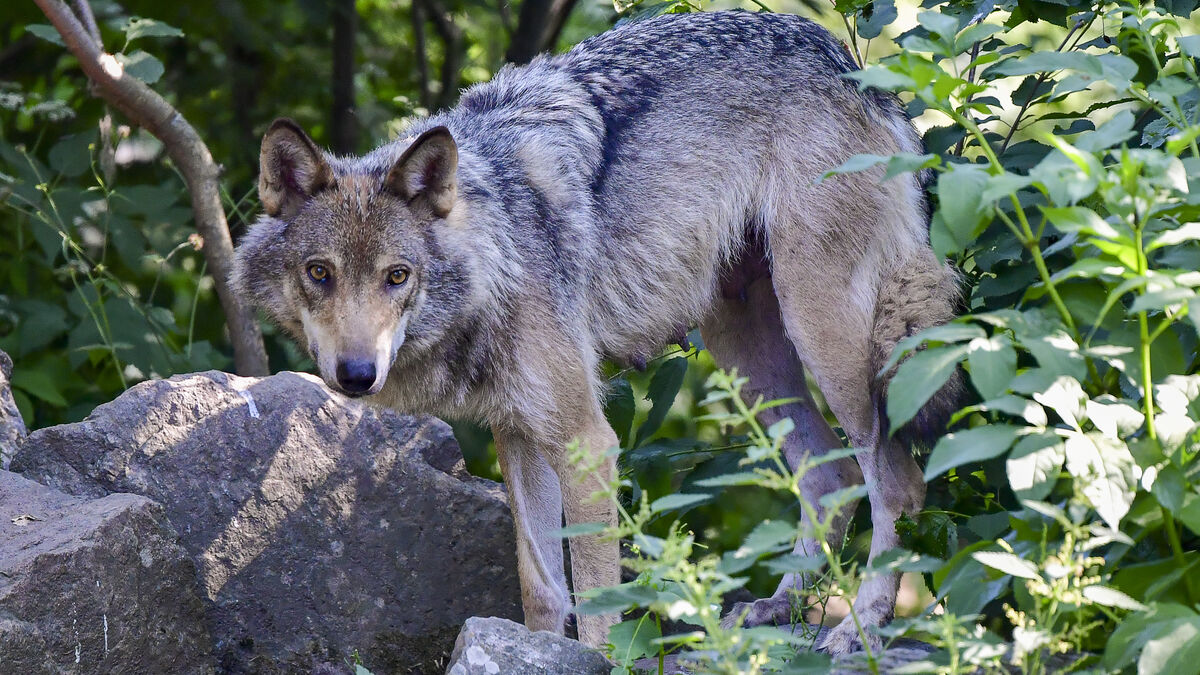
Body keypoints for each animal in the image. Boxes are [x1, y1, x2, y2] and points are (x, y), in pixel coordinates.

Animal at [231, 9, 960, 654]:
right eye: (319, 273)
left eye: (396, 275)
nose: (357, 375)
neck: (497, 249)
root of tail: (853, 68)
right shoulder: (519, 435)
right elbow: (542, 589)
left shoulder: (587, 442)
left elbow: (601, 601)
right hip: (746, 356)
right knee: (827, 473)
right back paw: (779, 606)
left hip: (826, 337)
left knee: (894, 482)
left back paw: (859, 627)